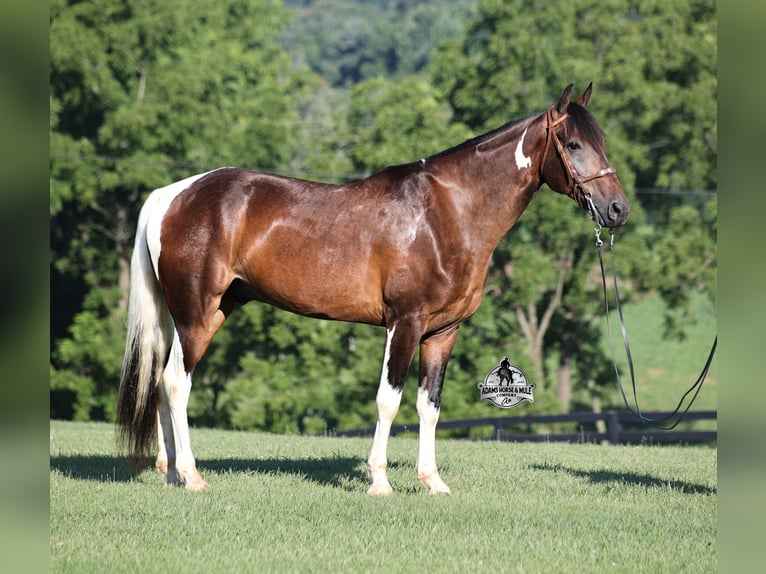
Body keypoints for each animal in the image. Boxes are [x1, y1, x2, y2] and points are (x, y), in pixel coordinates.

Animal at [117, 83, 629, 495]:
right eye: (573, 143)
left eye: (604, 141)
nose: (618, 209)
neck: (447, 213)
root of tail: (171, 195)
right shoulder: (404, 323)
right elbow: (389, 401)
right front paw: (380, 481)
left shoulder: (442, 333)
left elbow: (429, 406)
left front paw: (432, 482)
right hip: (197, 316)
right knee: (176, 382)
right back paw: (192, 477)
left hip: (200, 314)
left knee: (161, 383)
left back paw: (169, 473)